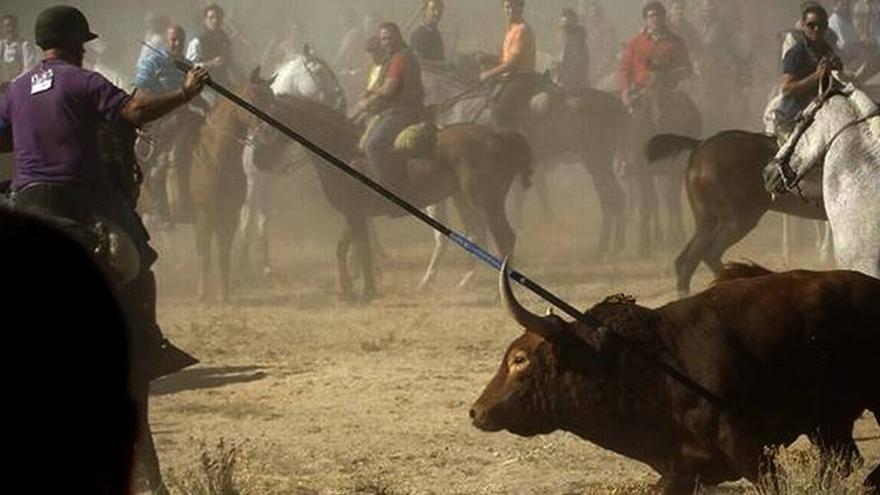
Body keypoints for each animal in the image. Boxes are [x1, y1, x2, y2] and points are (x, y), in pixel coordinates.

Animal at [188, 67, 276, 302]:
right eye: (254, 96)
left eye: (273, 99)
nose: (269, 134)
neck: (215, 157)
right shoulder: (203, 213)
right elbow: (204, 255)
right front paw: (202, 296)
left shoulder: (230, 214)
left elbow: (223, 254)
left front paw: (224, 295)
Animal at [251, 94, 532, 300]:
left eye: (267, 126)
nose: (257, 160)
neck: (342, 149)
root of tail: (499, 136)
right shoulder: (354, 215)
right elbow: (344, 249)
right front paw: (350, 288)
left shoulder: (355, 216)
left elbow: (361, 251)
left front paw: (365, 291)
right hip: (463, 199)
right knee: (476, 235)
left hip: (486, 201)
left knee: (504, 237)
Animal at [474, 262, 880, 494]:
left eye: (519, 359)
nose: (476, 412)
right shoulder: (680, 471)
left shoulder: (748, 449)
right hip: (829, 421)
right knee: (844, 461)